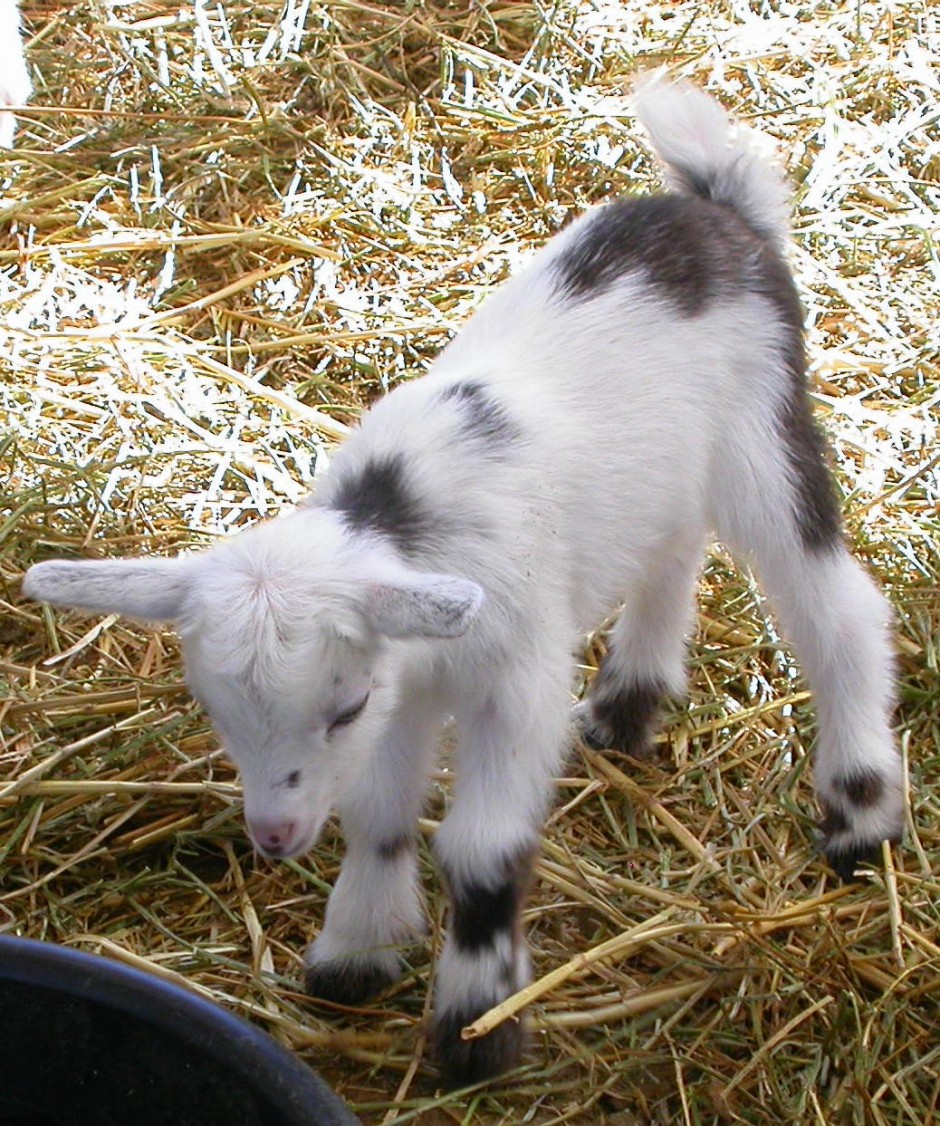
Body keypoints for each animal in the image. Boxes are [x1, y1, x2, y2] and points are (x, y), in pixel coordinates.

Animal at [23, 81, 903, 1087]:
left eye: (341, 708)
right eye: (215, 711)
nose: (274, 836)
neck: (401, 523)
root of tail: (716, 207)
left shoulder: (508, 684)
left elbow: (480, 852)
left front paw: (477, 1025)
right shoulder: (409, 683)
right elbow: (378, 813)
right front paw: (356, 953)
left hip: (763, 426)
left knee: (838, 608)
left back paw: (862, 808)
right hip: (668, 473)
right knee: (673, 550)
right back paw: (629, 705)